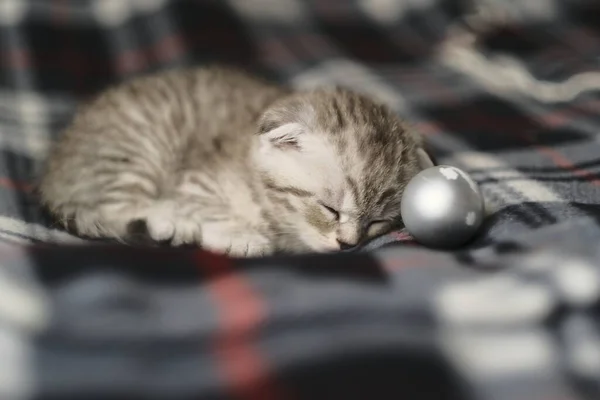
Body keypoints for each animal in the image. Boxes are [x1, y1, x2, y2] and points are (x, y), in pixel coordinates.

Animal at [37, 65, 432, 256]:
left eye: (377, 222)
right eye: (329, 209)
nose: (347, 245)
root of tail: (50, 180)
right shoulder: (194, 177)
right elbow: (206, 205)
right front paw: (240, 235)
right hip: (136, 152)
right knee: (116, 208)